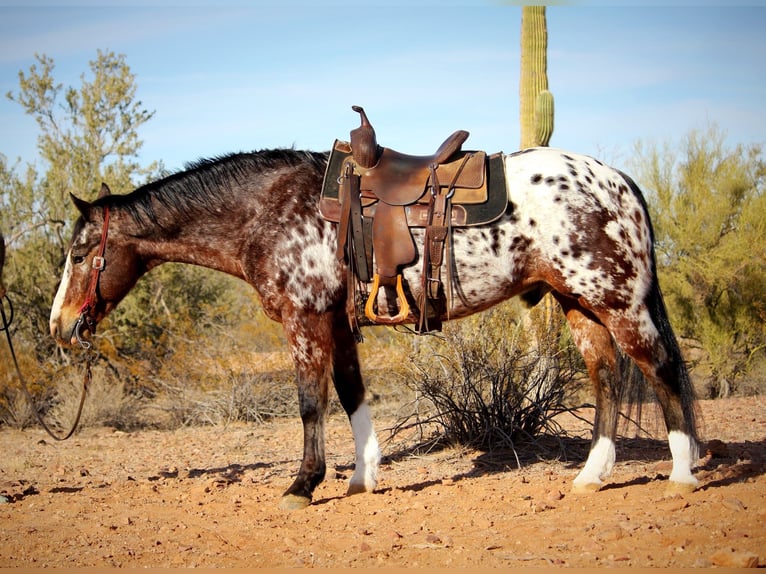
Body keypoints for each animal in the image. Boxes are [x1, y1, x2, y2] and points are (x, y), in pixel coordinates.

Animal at [49, 146, 704, 510]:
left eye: (80, 253)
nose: (60, 326)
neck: (270, 210)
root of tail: (617, 179)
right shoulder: (338, 326)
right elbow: (350, 395)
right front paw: (363, 477)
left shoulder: (306, 321)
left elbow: (310, 403)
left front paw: (302, 485)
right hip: (580, 305)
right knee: (607, 377)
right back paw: (592, 477)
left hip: (618, 301)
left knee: (662, 370)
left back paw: (681, 474)